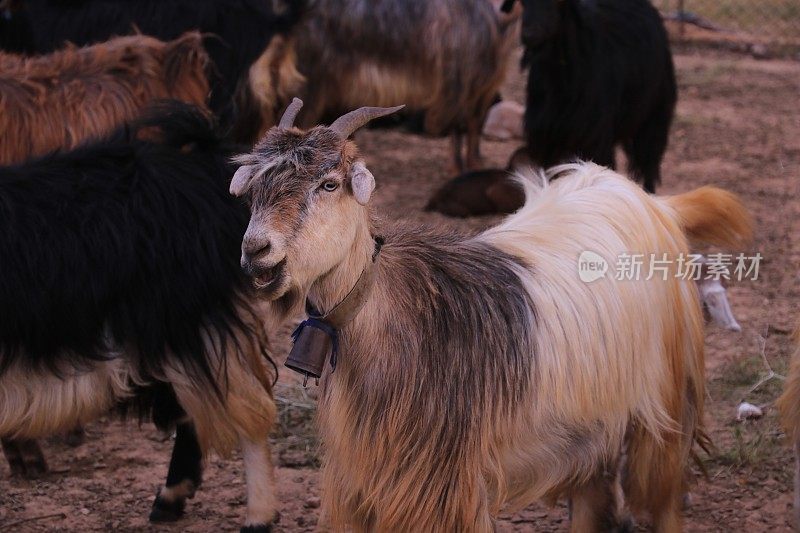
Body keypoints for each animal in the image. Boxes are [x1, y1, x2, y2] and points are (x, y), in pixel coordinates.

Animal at [230, 102, 752, 528]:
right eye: (254, 191)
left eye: (329, 183)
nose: (257, 252)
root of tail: (649, 200)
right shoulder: (358, 484)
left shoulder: (441, 487)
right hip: (590, 423)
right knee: (592, 497)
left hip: (666, 401)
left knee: (663, 497)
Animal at [294, 0, 520, 171]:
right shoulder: (459, 81)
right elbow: (459, 127)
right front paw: (458, 168)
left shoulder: (483, 87)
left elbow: (475, 125)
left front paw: (476, 162)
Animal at [512, 0, 676, 191]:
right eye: (523, 3)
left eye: (557, 2)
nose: (529, 34)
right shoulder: (546, 140)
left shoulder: (594, 138)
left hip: (653, 118)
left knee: (648, 164)